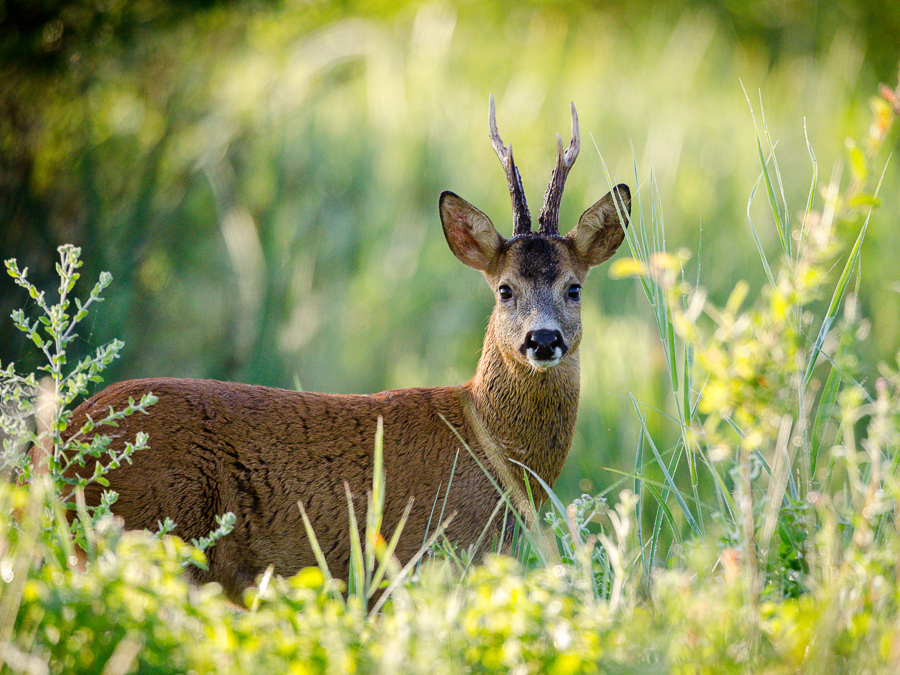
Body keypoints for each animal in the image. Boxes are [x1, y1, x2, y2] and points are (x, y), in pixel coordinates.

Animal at [59, 95, 628, 604]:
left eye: (574, 288)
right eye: (505, 289)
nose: (543, 339)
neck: (482, 439)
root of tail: (60, 444)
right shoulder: (412, 559)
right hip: (150, 528)